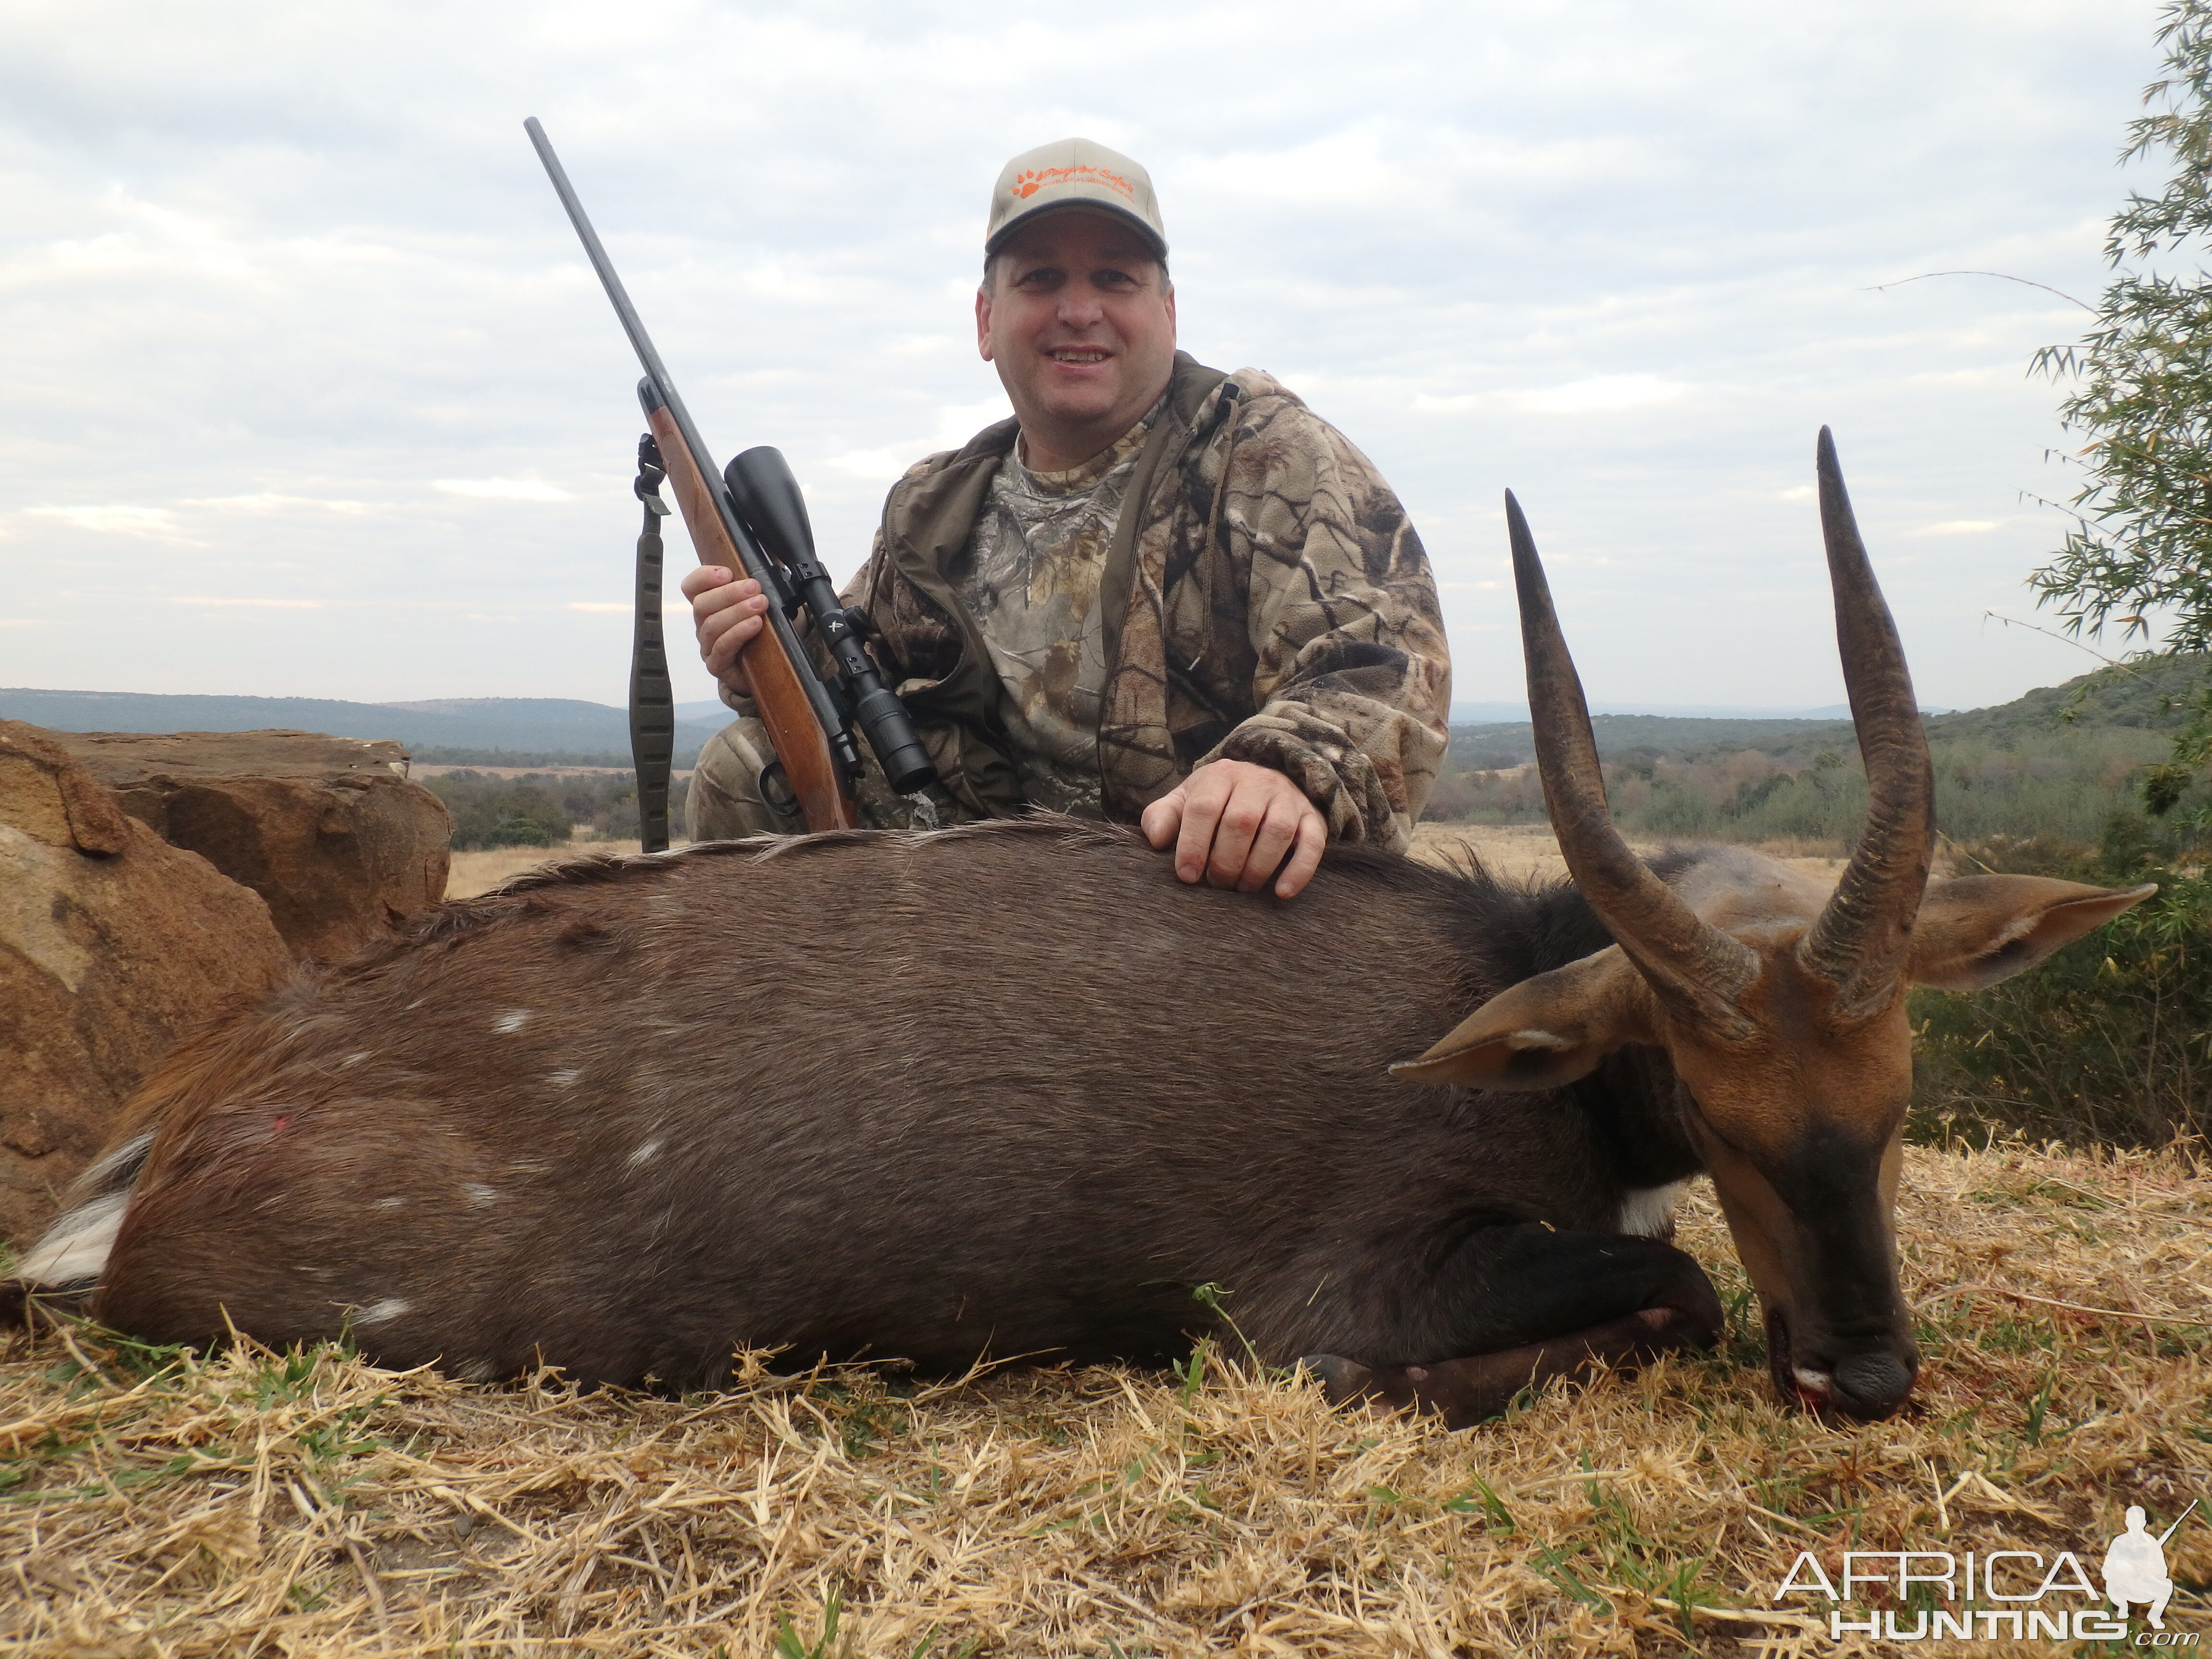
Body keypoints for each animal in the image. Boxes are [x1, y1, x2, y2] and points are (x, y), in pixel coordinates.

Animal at [9, 438, 2150, 1433]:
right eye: (1707, 1096)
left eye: (1897, 1090)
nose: (1864, 1372)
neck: (1484, 996)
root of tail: (175, 1139)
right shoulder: (1336, 1288)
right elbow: (1669, 1290)